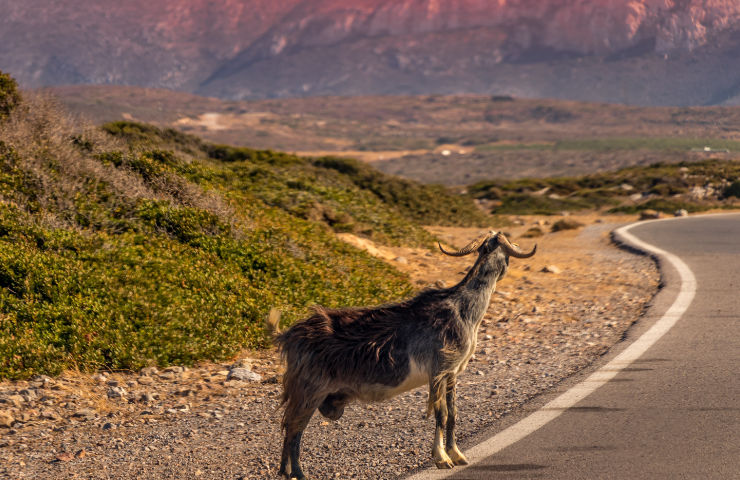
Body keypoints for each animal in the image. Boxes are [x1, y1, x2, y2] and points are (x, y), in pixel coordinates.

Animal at [274, 231, 536, 478]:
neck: (462, 308)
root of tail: (289, 336)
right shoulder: (438, 370)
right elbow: (440, 414)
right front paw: (442, 458)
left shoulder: (452, 373)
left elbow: (452, 414)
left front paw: (457, 454)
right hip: (310, 389)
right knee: (294, 427)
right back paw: (298, 472)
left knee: (289, 425)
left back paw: (285, 472)